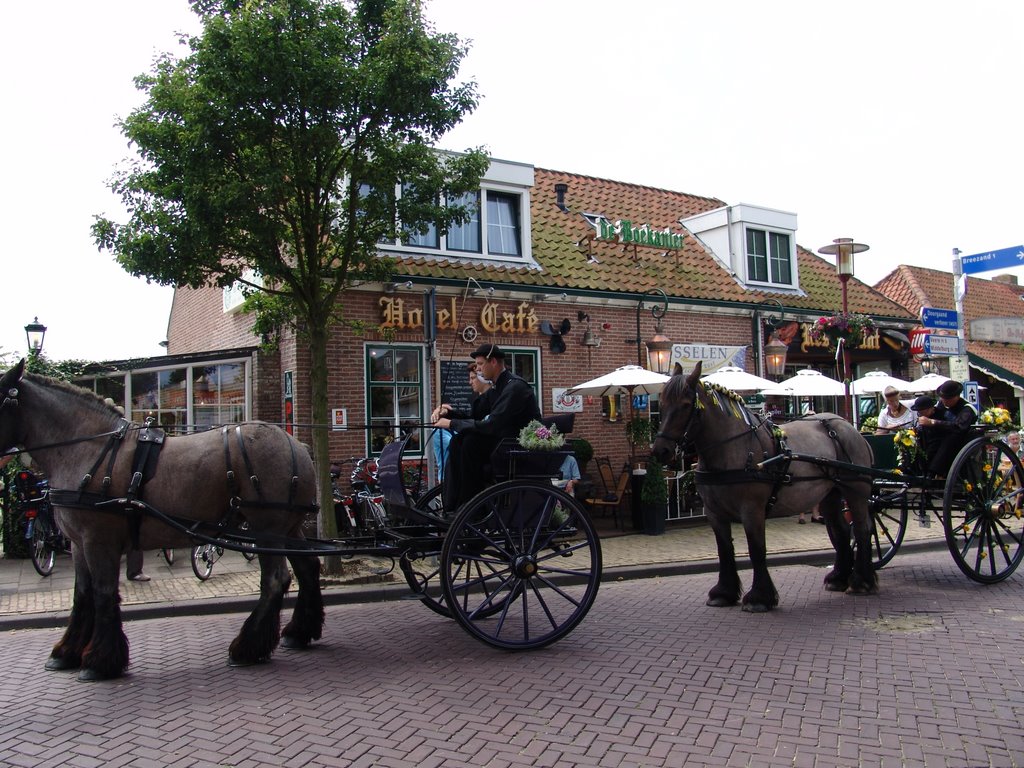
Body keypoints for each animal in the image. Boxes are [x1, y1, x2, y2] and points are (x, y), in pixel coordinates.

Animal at [0, 364, 323, 684]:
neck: (90, 449)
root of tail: (296, 444)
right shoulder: (79, 543)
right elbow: (82, 594)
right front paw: (66, 653)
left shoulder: (98, 540)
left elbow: (103, 592)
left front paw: (99, 662)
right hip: (288, 529)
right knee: (308, 569)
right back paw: (297, 633)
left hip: (267, 530)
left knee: (276, 580)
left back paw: (246, 649)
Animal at [651, 364, 876, 614]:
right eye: (661, 403)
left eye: (685, 405)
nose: (660, 451)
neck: (733, 448)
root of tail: (850, 428)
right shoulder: (714, 513)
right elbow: (724, 550)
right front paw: (723, 593)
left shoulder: (752, 510)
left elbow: (756, 549)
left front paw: (759, 597)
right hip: (830, 495)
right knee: (842, 531)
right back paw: (838, 578)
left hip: (855, 492)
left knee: (863, 529)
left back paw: (861, 582)